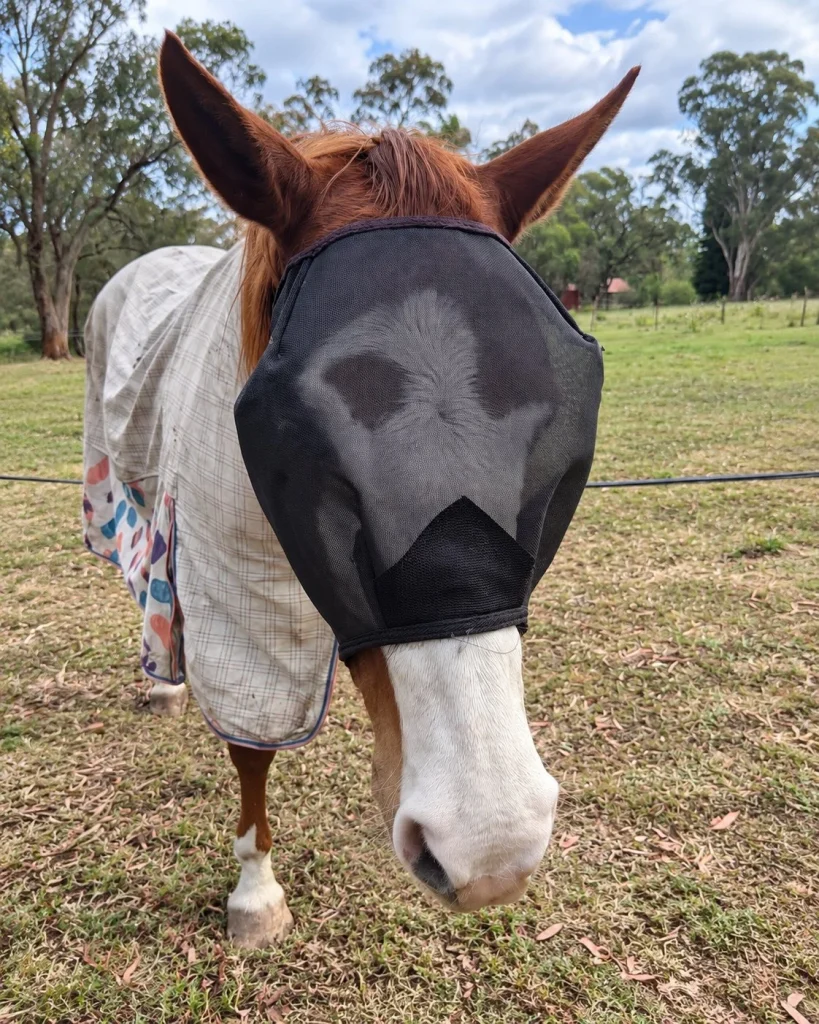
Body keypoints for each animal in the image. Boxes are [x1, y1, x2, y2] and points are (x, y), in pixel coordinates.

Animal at [82, 31, 638, 949]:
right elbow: (251, 745)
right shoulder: (239, 600)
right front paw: (255, 894)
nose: (491, 842)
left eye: (565, 402)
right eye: (290, 430)